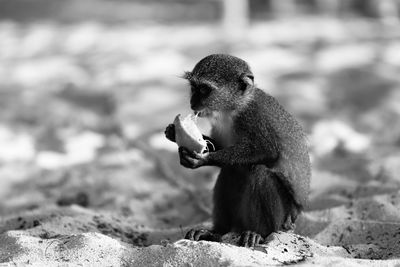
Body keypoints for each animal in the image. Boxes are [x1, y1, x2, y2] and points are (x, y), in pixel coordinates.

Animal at [164, 54, 310, 249]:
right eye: (193, 88)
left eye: (204, 89)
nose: (192, 102)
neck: (233, 109)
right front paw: (174, 134)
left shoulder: (254, 117)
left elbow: (269, 152)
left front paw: (204, 159)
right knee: (231, 170)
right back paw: (216, 232)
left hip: (284, 219)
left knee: (258, 171)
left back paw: (259, 233)